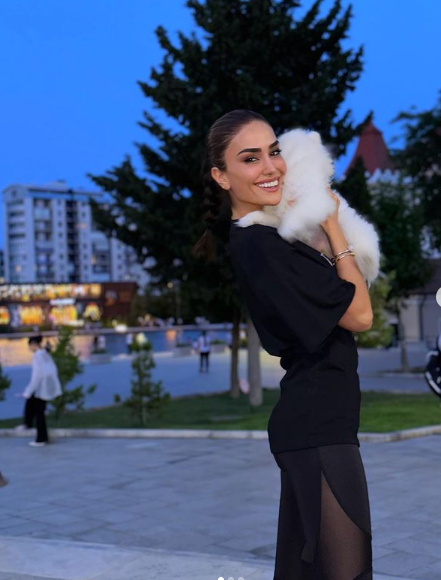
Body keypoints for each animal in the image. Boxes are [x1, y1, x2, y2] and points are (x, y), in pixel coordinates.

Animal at [235, 128, 381, 287]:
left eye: (276, 153)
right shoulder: (279, 214)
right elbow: (267, 217)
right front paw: (247, 220)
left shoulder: (315, 201)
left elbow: (295, 215)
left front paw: (285, 232)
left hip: (359, 237)